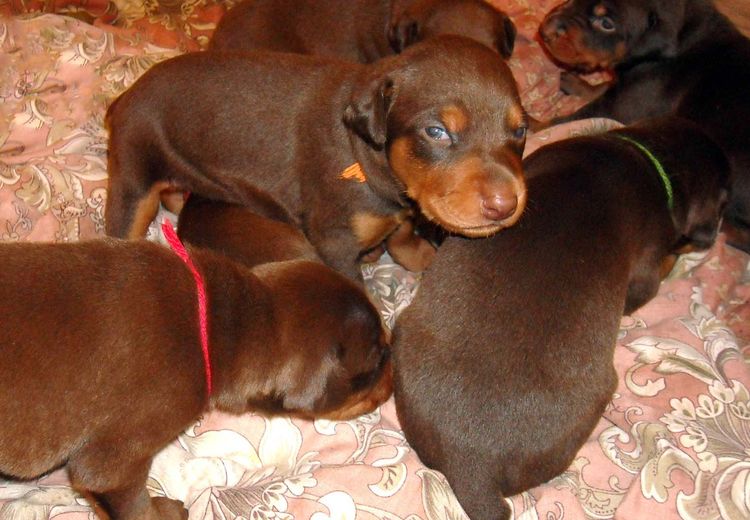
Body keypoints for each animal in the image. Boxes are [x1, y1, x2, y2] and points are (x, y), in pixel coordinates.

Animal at [106, 35, 532, 280]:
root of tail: (125, 96)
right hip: (133, 182)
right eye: (436, 131)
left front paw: (419, 255)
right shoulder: (335, 241)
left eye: (520, 131)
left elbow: (403, 235)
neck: (366, 155)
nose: (505, 206)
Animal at [536, 0, 750, 252]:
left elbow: (563, 120)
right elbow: (606, 86)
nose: (545, 29)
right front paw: (579, 84)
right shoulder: (626, 89)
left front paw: (531, 122)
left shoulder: (622, 105)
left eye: (606, 23)